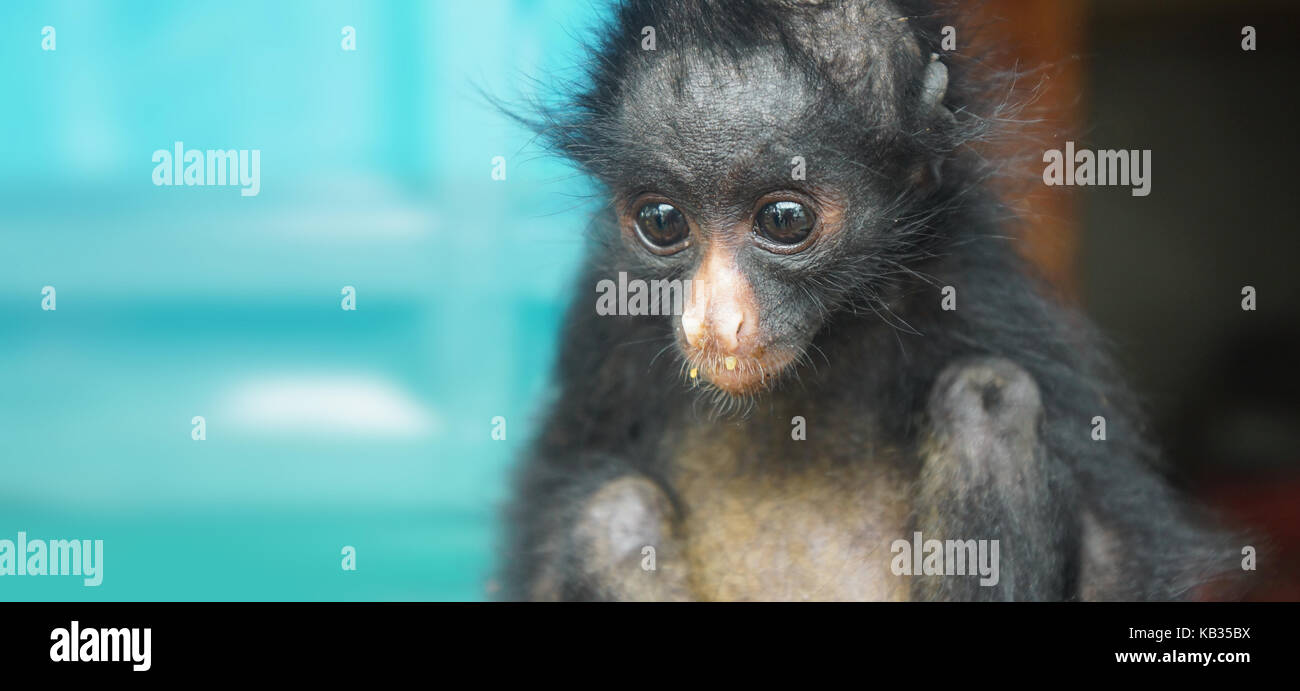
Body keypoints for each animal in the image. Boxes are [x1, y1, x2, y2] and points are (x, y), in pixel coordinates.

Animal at [496, 0, 1237, 600]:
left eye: (785, 219)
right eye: (662, 221)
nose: (712, 320)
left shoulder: (983, 291)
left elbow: (1116, 561)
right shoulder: (605, 316)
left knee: (989, 402)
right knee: (614, 513)